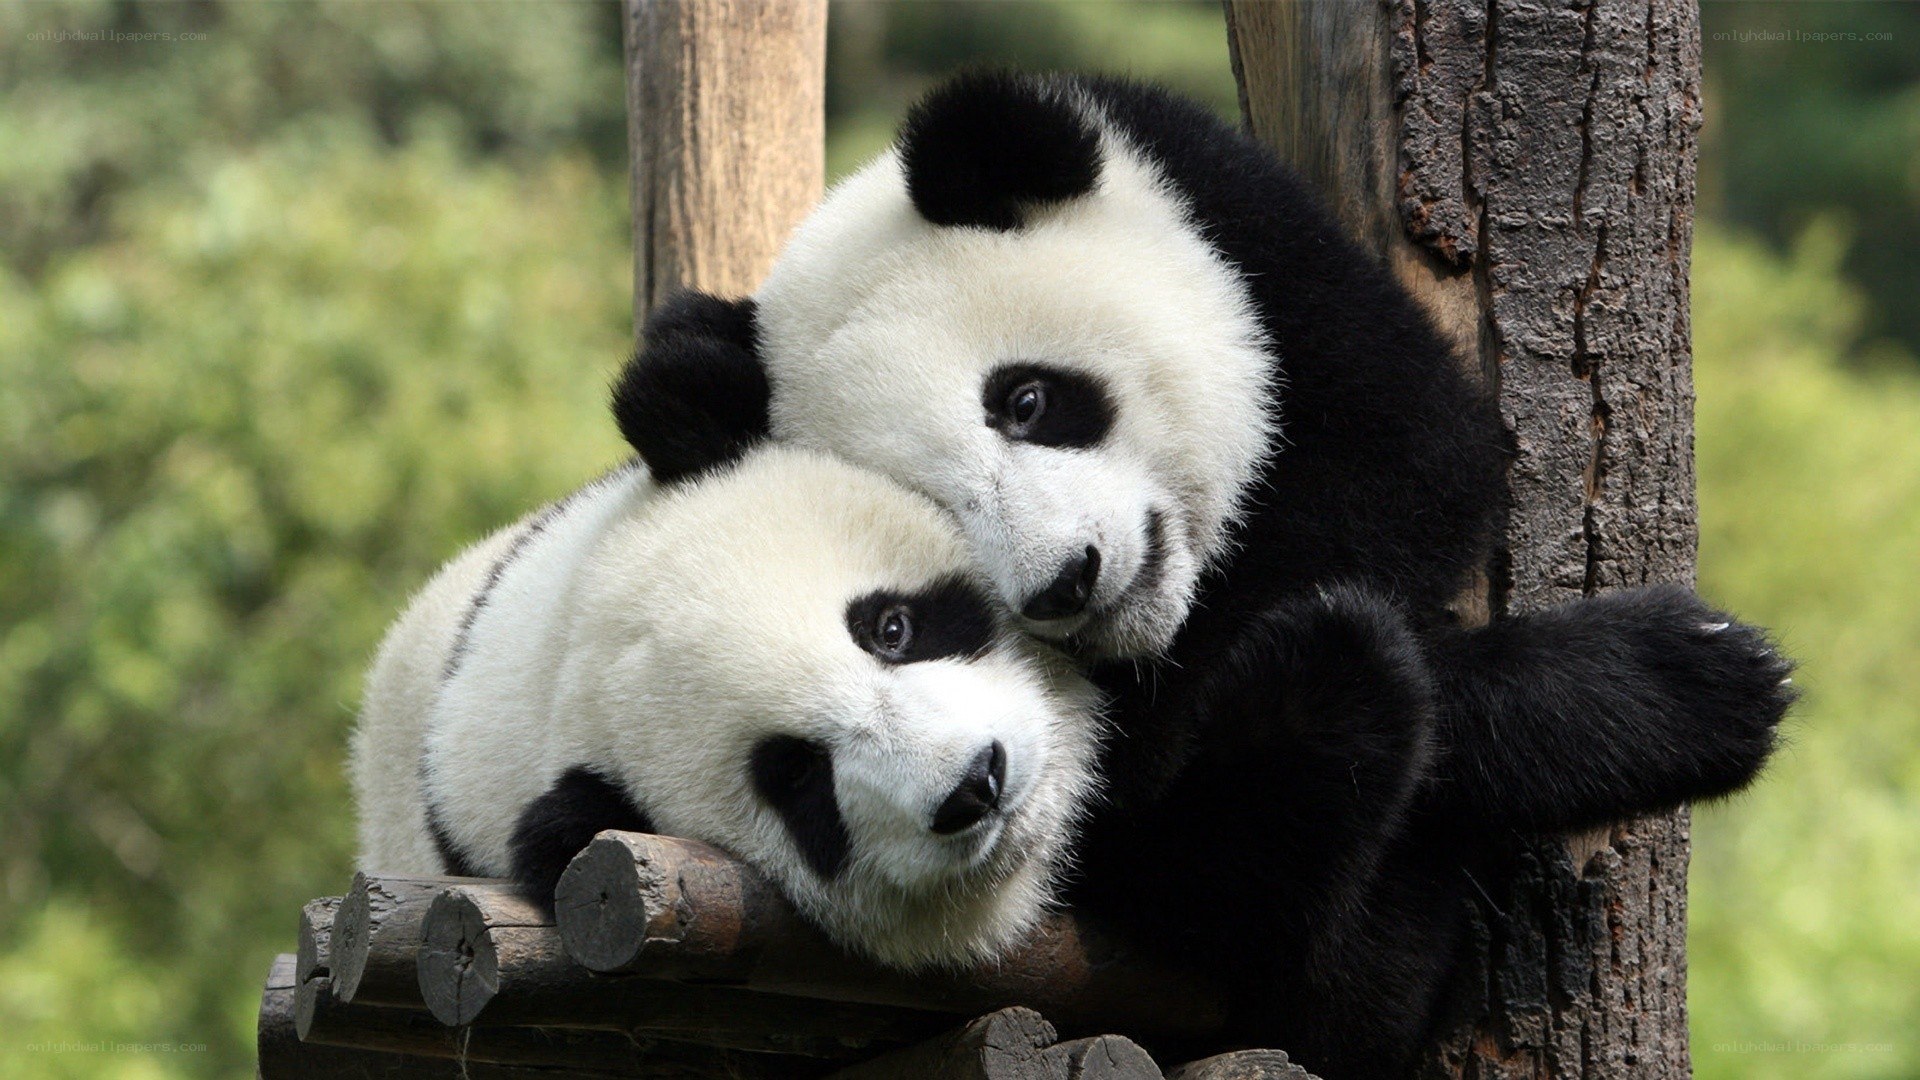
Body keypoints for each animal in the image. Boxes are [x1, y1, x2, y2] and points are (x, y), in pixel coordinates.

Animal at [615, 72, 1796, 1077]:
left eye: (1027, 400)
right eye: (936, 511)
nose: (1068, 582)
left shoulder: (1255, 243)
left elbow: (1414, 462)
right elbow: (1165, 807)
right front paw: (1678, 685)